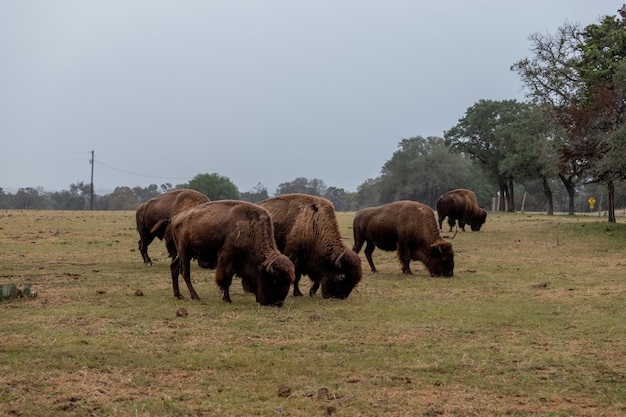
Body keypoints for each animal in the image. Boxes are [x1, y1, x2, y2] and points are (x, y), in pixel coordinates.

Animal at [152, 200, 296, 308]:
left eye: (288, 281)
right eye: (275, 280)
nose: (277, 303)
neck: (250, 228)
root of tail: (174, 218)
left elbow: (228, 279)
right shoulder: (227, 258)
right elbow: (226, 278)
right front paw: (227, 299)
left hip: (183, 254)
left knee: (174, 267)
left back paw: (178, 295)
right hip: (184, 252)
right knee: (185, 272)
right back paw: (196, 297)